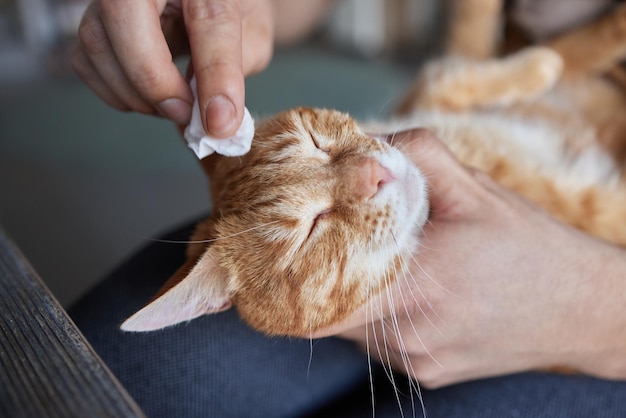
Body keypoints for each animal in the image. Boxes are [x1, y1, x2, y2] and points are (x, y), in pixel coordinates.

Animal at [119, 2, 624, 340]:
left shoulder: (427, 98)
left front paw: (548, 59)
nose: (374, 172)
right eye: (310, 231)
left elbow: (459, 66)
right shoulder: (587, 207)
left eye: (316, 141)